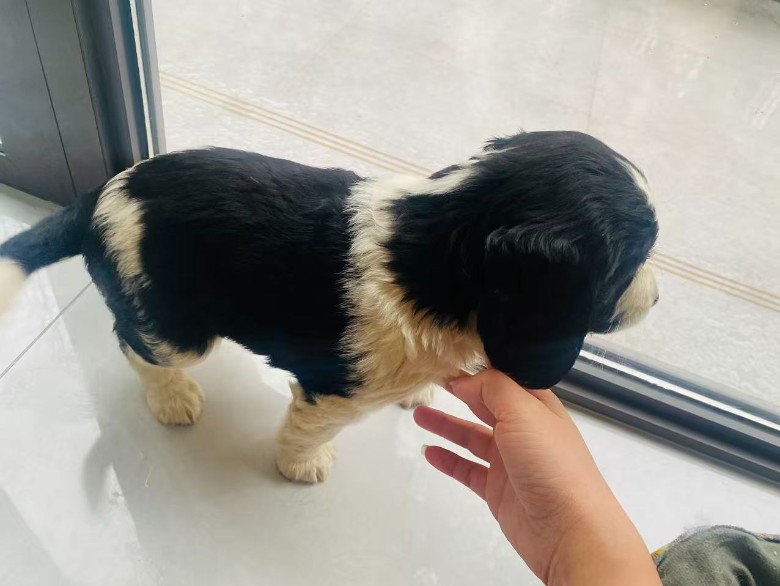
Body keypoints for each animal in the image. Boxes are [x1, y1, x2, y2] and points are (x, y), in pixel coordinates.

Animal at [0, 130, 659, 483]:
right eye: (633, 264)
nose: (657, 297)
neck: (436, 243)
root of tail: (97, 198)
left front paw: (424, 391)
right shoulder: (334, 389)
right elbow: (306, 431)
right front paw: (303, 467)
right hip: (174, 327)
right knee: (134, 345)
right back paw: (174, 398)